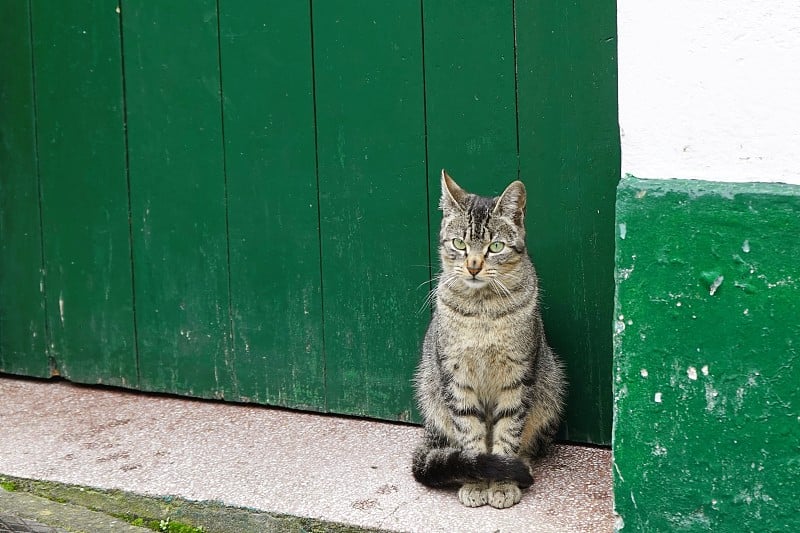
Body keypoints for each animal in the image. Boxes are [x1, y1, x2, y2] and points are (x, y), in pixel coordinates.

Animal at [412, 170, 568, 508]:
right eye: (459, 243)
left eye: (495, 247)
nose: (473, 266)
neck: (482, 308)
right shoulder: (455, 375)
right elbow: (470, 437)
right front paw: (476, 482)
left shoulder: (518, 375)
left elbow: (507, 433)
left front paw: (503, 482)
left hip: (551, 386)